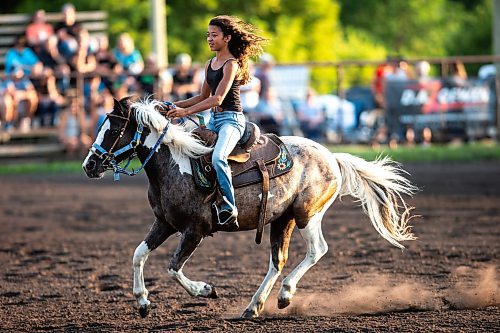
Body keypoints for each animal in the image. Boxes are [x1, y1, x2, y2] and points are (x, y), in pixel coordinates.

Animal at [83, 96, 418, 316]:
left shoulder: (195, 230)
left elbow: (173, 268)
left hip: (306, 215)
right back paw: (254, 306)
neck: (176, 164)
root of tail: (332, 158)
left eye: (113, 130)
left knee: (316, 250)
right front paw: (142, 302)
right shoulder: (164, 223)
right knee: (277, 260)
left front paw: (206, 290)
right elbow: (138, 254)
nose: (89, 165)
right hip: (282, 219)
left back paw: (284, 295)